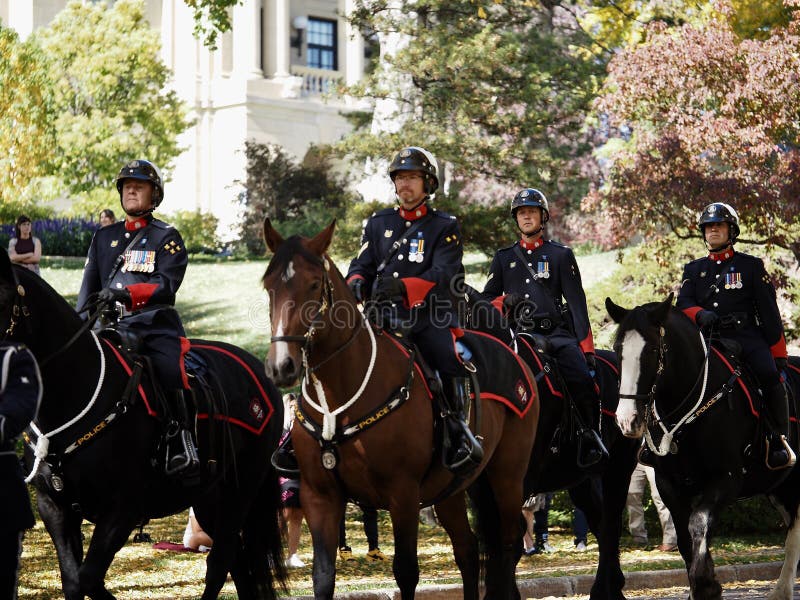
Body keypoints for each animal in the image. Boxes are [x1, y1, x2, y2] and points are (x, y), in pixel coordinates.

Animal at [0, 250, 288, 600]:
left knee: (219, 563)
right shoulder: (55, 507)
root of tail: (261, 373)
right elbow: (75, 581)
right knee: (237, 564)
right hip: (210, 500)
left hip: (240, 493)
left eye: (2, 298)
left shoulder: (122, 510)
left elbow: (88, 579)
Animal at [262, 220, 536, 600]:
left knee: (508, 542)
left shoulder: (403, 494)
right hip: (452, 489)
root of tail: (515, 355)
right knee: (468, 549)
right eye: (269, 285)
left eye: (314, 284)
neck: (339, 400)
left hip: (507, 476)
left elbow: (406, 572)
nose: (282, 366)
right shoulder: (319, 496)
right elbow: (323, 577)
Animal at [468, 298, 636, 596]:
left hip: (620, 466)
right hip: (582, 479)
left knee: (611, 522)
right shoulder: (481, 487)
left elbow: (510, 538)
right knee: (600, 521)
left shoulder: (521, 479)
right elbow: (494, 540)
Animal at [608, 296, 800, 600]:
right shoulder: (669, 485)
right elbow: (685, 538)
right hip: (779, 486)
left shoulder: (726, 480)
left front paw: (707, 584)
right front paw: (699, 585)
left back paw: (781, 589)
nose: (628, 420)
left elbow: (698, 523)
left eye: (652, 349)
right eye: (618, 350)